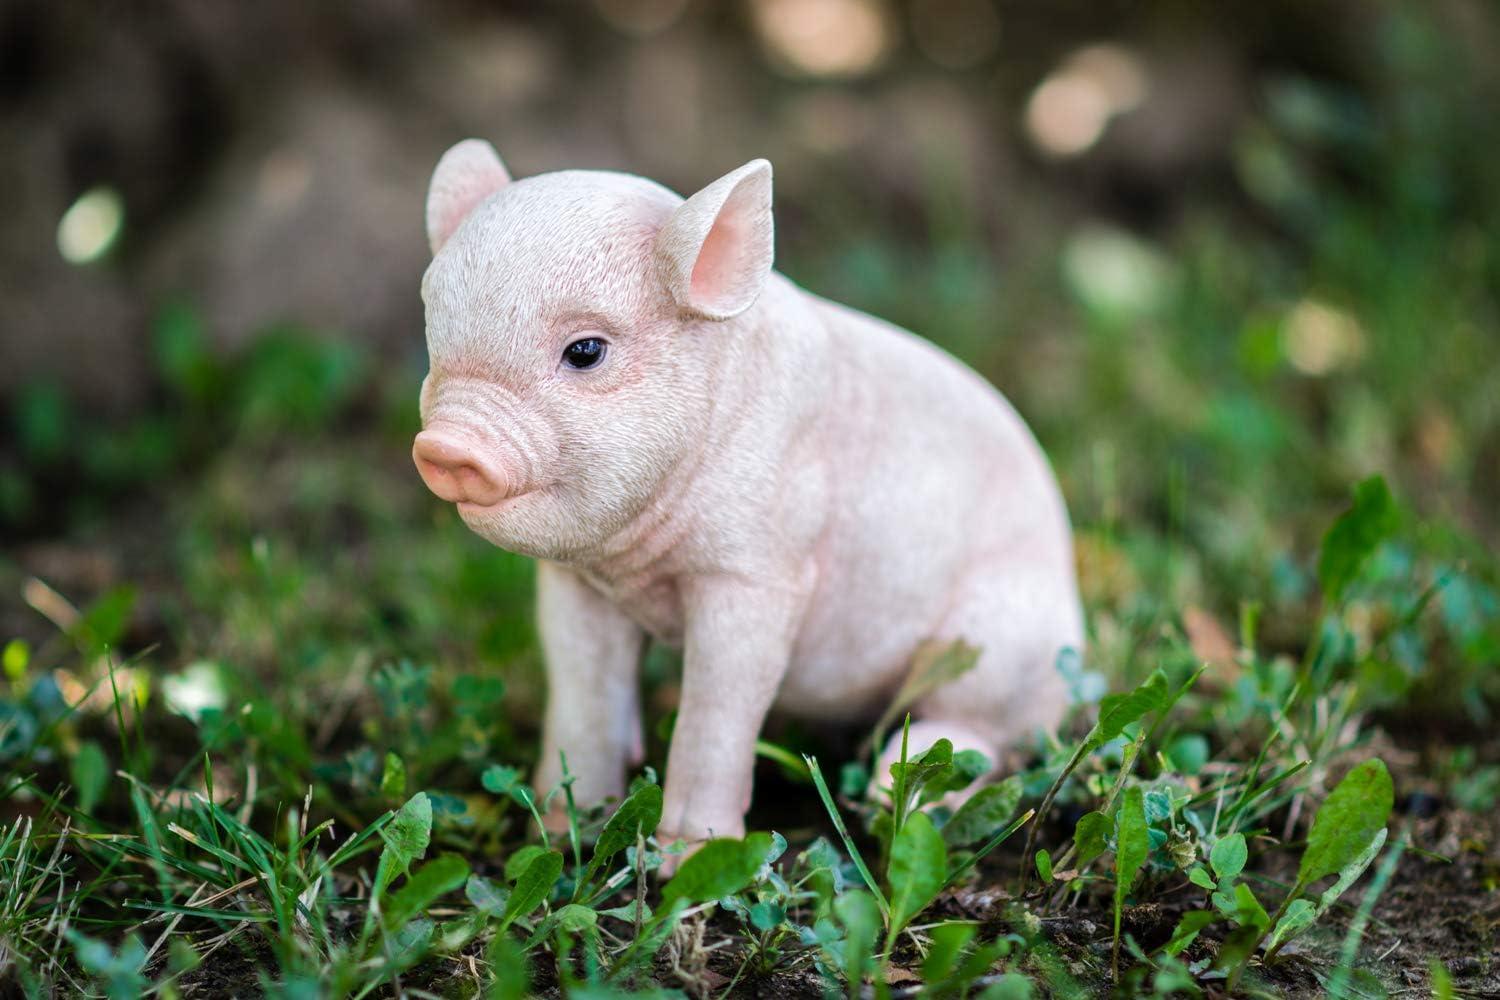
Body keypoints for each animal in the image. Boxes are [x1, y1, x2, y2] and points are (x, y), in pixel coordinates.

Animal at [417, 140, 1086, 863]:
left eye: (586, 350)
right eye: (433, 332)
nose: (446, 447)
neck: (635, 566)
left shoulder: (760, 571)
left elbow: (722, 702)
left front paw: (688, 856)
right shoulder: (576, 586)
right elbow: (581, 687)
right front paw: (570, 824)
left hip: (1002, 644)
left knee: (980, 731)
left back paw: (890, 792)